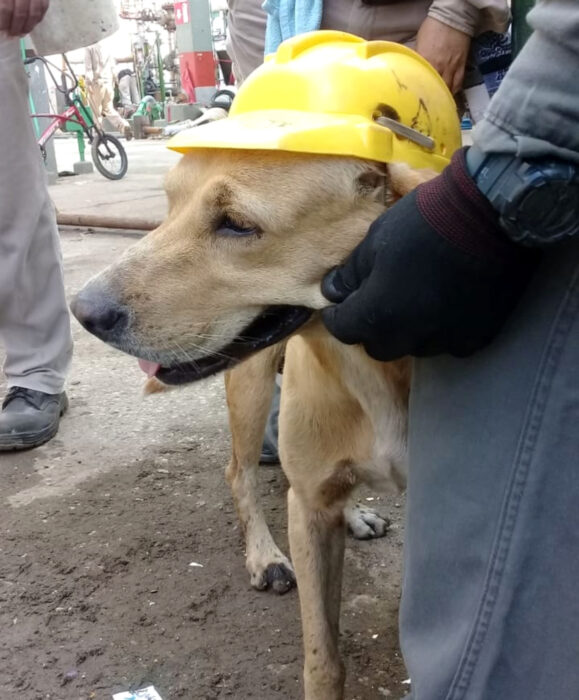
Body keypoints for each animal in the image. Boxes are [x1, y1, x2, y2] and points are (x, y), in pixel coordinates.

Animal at [72, 150, 436, 696]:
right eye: (171, 202)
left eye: (238, 224)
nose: (82, 311)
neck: (365, 363)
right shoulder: (308, 516)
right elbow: (323, 657)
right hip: (250, 388)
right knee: (238, 472)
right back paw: (265, 555)